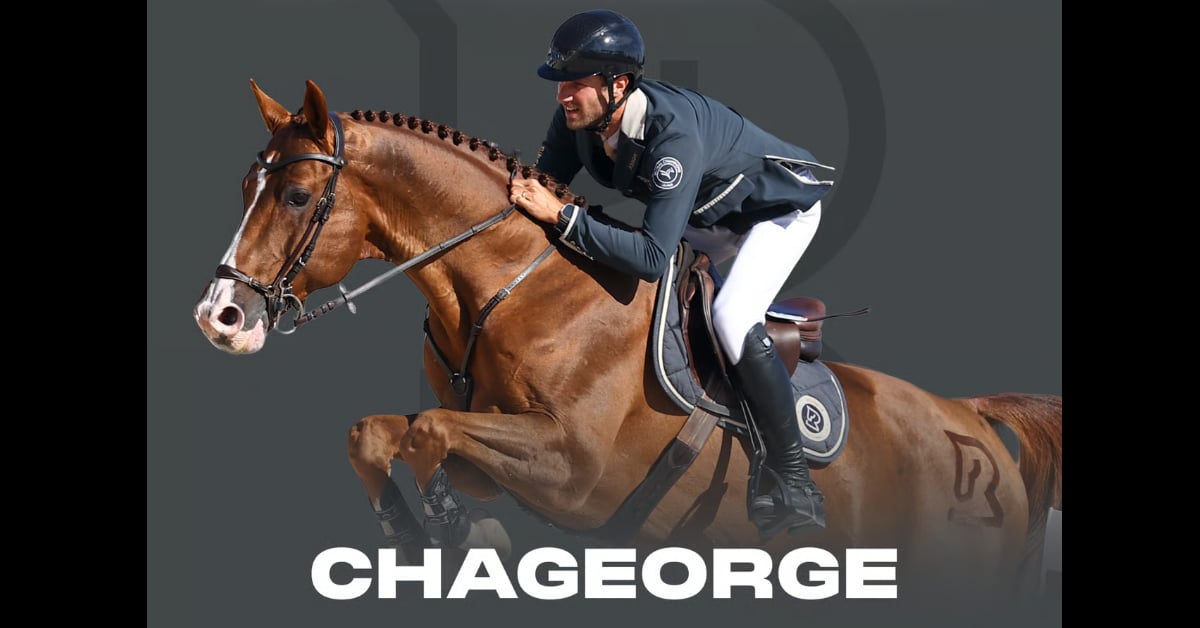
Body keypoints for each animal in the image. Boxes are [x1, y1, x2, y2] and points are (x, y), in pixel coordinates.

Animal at [193, 79, 1062, 603]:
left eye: (296, 195)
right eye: (244, 187)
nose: (219, 316)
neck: (512, 288)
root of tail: (969, 416)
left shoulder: (572, 466)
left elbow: (429, 432)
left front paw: (449, 526)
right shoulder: (496, 454)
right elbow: (378, 433)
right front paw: (417, 532)